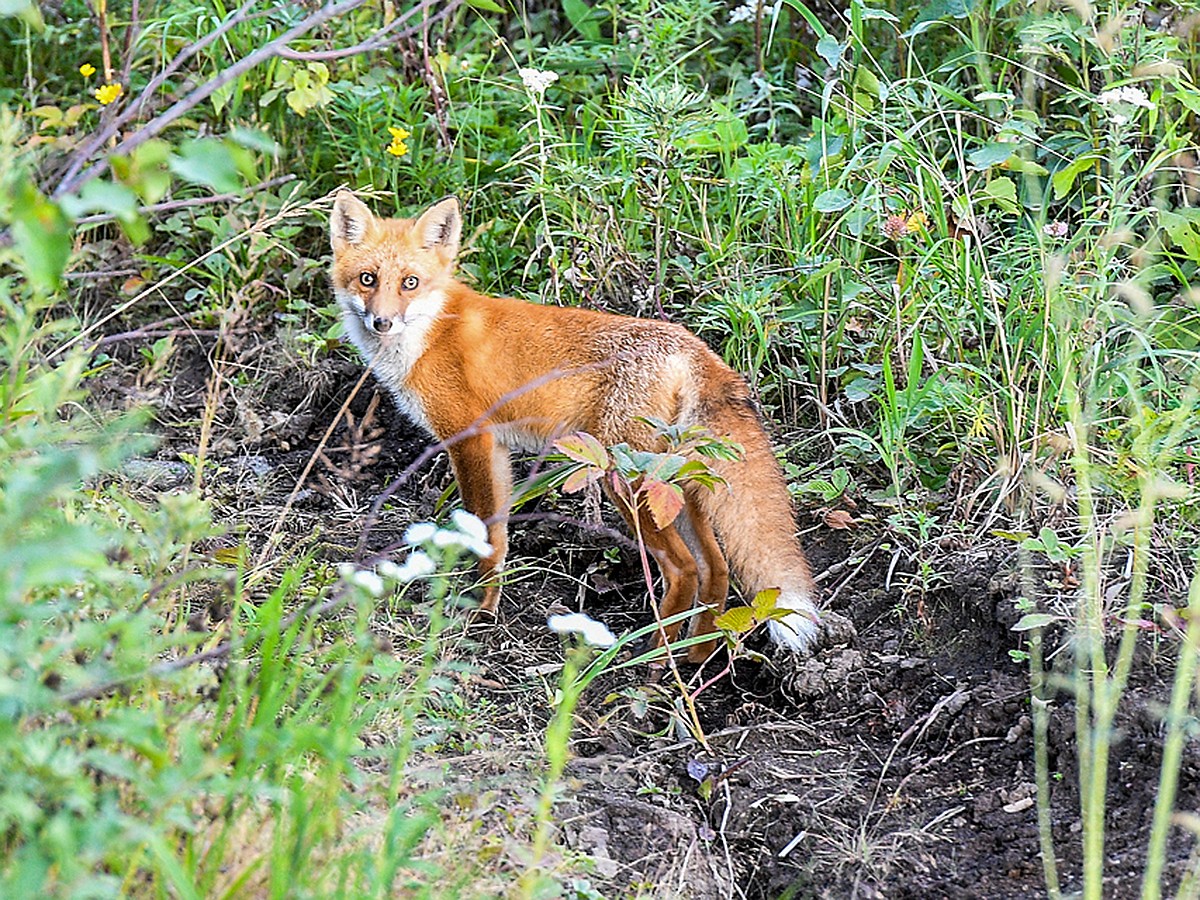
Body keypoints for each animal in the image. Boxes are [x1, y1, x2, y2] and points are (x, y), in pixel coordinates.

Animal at [328, 194, 816, 657]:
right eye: (368, 279)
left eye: (409, 283)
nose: (382, 321)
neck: (429, 333)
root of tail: (695, 347)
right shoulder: (496, 448)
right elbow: (499, 538)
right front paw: (488, 607)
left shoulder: (471, 440)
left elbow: (483, 532)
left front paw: (476, 613)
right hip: (677, 485)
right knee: (716, 569)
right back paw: (694, 658)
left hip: (626, 478)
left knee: (685, 569)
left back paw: (654, 663)